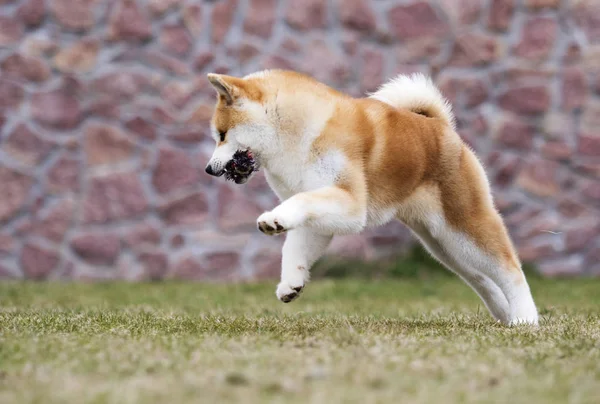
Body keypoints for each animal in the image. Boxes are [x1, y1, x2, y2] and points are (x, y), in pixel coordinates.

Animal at [205, 69, 540, 326]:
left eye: (221, 135)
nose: (209, 169)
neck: (294, 133)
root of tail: (441, 127)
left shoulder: (350, 204)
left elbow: (297, 205)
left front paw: (272, 218)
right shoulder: (317, 212)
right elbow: (294, 247)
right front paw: (291, 283)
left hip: (466, 225)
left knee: (510, 270)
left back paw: (525, 319)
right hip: (444, 244)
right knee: (480, 279)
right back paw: (504, 314)